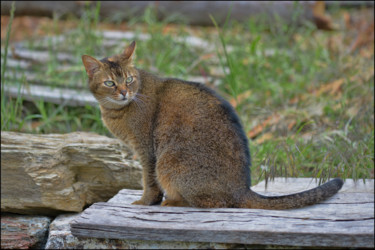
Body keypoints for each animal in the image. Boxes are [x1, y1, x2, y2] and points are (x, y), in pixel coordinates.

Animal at [81, 41, 344, 209]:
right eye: (109, 83)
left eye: (129, 79)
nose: (124, 92)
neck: (119, 110)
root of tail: (241, 188)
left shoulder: (147, 151)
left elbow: (149, 182)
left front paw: (146, 202)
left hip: (168, 163)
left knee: (214, 203)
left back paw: (174, 201)